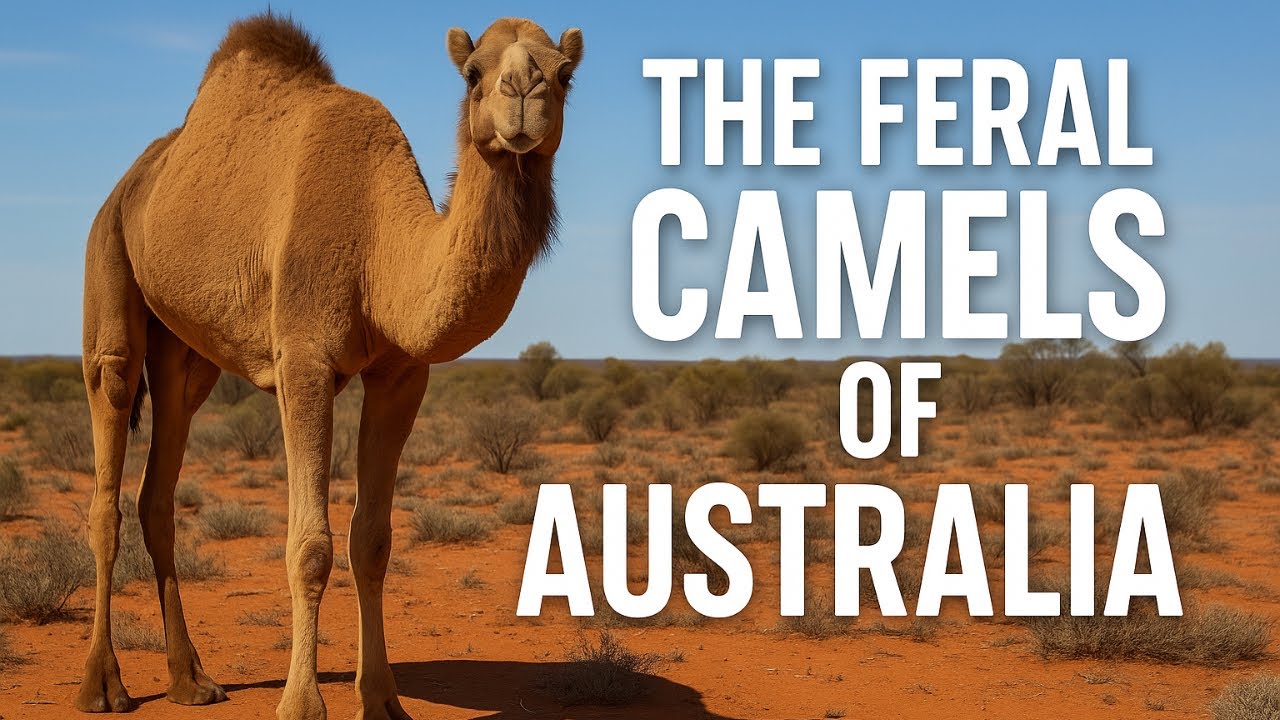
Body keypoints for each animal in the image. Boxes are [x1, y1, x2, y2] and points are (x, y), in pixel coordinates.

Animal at [75, 13, 581, 719]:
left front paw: (383, 700)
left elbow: (371, 541)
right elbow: (309, 547)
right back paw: (103, 685)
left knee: (160, 487)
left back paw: (192, 680)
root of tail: (129, 182)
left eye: (565, 74)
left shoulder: (402, 375)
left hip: (185, 355)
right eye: (473, 72)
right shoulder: (304, 361)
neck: (379, 248)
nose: (524, 93)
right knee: (109, 452)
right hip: (109, 262)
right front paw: (300, 703)